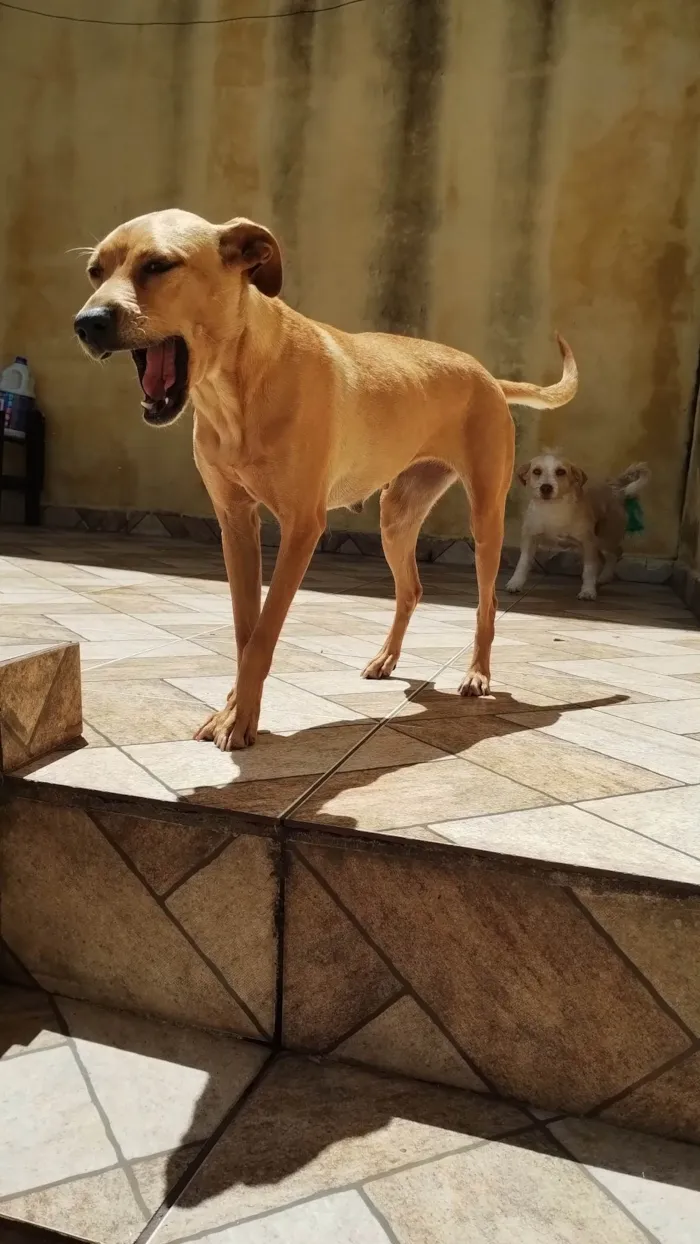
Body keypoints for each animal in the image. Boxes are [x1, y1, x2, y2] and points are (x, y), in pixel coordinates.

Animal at [75, 208, 581, 746]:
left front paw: (239, 718)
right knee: (411, 589)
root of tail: (487, 375)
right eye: (94, 271)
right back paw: (386, 658)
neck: (240, 385)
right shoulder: (235, 522)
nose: (86, 324)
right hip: (396, 517)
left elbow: (264, 633)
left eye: (158, 265)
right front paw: (235, 708)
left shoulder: (301, 525)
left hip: (485, 517)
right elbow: (245, 632)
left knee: (486, 603)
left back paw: (478, 674)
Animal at [507, 452, 651, 602]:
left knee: (615, 553)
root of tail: (619, 492)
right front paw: (515, 583)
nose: (546, 488)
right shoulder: (530, 537)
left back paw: (604, 577)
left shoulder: (588, 542)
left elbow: (589, 569)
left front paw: (588, 591)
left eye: (561, 472)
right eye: (536, 471)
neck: (552, 509)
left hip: (605, 538)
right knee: (604, 558)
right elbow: (522, 563)